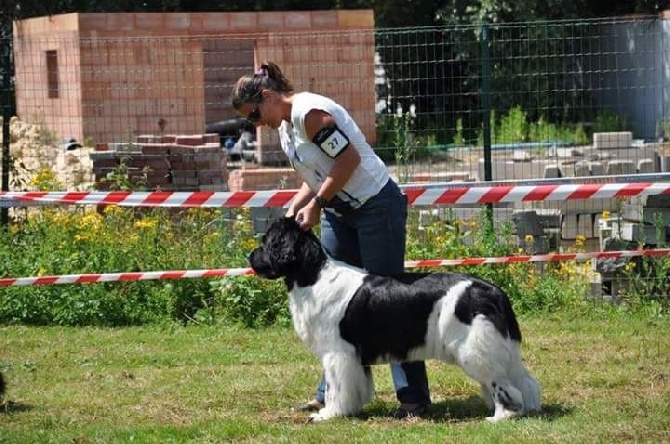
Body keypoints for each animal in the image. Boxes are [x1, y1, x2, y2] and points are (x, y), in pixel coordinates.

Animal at [249, 217, 544, 422]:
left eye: (267, 242)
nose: (249, 256)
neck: (312, 276)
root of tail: (493, 291)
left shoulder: (337, 353)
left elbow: (336, 387)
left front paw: (328, 414)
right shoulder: (353, 356)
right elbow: (356, 385)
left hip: (474, 347)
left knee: (502, 384)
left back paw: (500, 416)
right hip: (495, 346)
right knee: (524, 381)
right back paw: (527, 408)